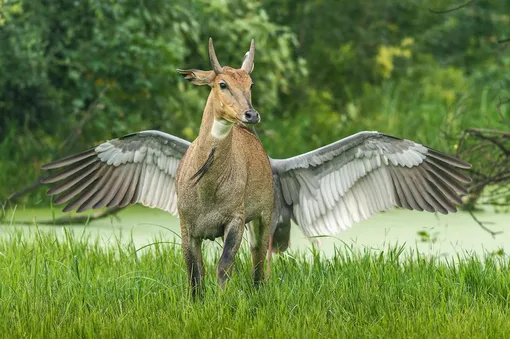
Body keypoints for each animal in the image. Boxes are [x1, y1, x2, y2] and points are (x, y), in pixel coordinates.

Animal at [39, 37, 470, 298]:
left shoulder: (237, 222)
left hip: (266, 223)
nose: (252, 114)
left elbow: (225, 268)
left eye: (251, 83)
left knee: (261, 268)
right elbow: (194, 277)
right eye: (221, 83)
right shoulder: (187, 227)